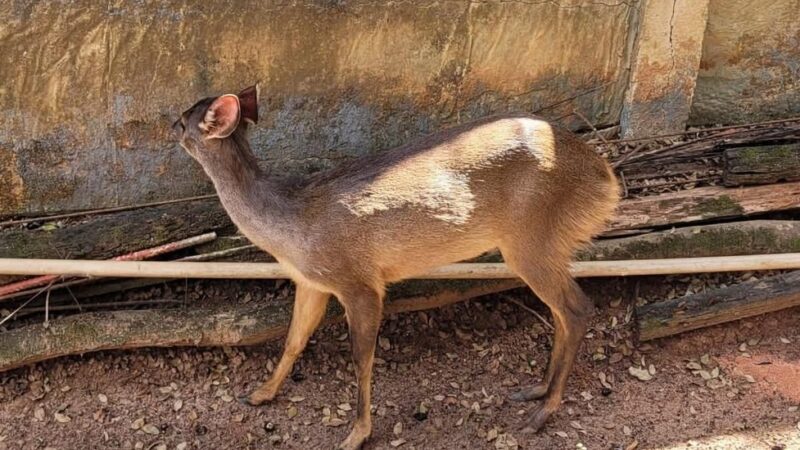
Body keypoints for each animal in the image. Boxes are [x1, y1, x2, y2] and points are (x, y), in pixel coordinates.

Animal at [173, 85, 620, 450]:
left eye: (182, 119)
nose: (167, 124)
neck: (289, 226)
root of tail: (608, 181)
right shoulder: (312, 281)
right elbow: (293, 340)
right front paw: (260, 394)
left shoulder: (360, 282)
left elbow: (361, 358)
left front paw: (356, 435)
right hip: (546, 245)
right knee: (562, 312)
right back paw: (535, 389)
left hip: (531, 238)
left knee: (577, 309)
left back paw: (541, 414)